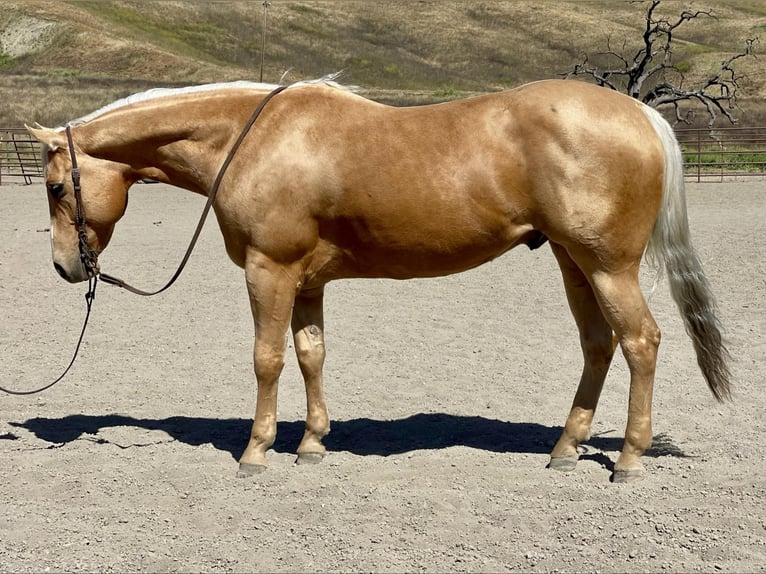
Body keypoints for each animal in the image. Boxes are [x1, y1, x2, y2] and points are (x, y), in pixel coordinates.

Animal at [28, 75, 732, 482]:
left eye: (57, 186)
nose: (66, 267)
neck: (252, 140)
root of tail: (640, 115)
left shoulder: (268, 269)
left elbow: (266, 359)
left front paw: (256, 453)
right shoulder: (306, 281)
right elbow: (310, 354)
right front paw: (312, 444)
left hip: (607, 265)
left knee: (640, 342)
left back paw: (628, 460)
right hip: (571, 260)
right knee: (598, 344)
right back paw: (564, 449)